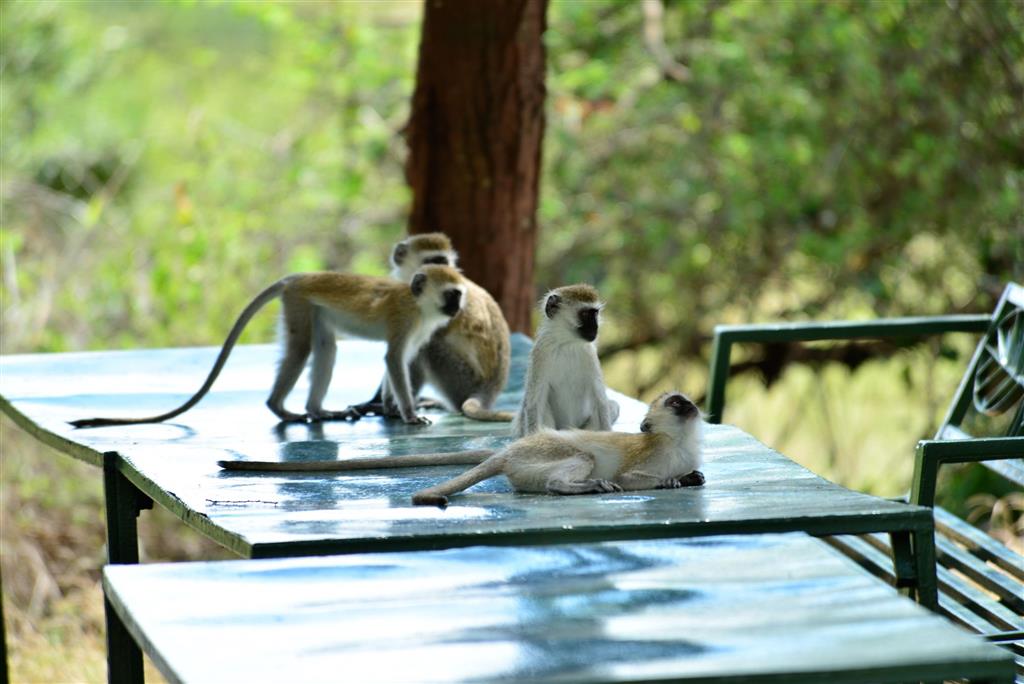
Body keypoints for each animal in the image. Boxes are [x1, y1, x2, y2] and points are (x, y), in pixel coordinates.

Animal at [69, 265, 468, 428]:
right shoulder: (404, 321)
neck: (419, 303)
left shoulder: (418, 330)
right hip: (298, 302)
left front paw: (390, 409)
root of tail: (296, 277)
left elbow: (396, 362)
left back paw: (318, 410)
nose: (457, 307)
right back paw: (281, 409)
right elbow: (393, 359)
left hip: (308, 308)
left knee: (325, 348)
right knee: (302, 349)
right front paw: (409, 414)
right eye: (451, 294)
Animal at [512, 284, 620, 437]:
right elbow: (534, 402)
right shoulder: (541, 352)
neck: (567, 343)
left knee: (612, 406)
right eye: (585, 314)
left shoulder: (589, 353)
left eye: (595, 314)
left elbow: (600, 401)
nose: (596, 328)